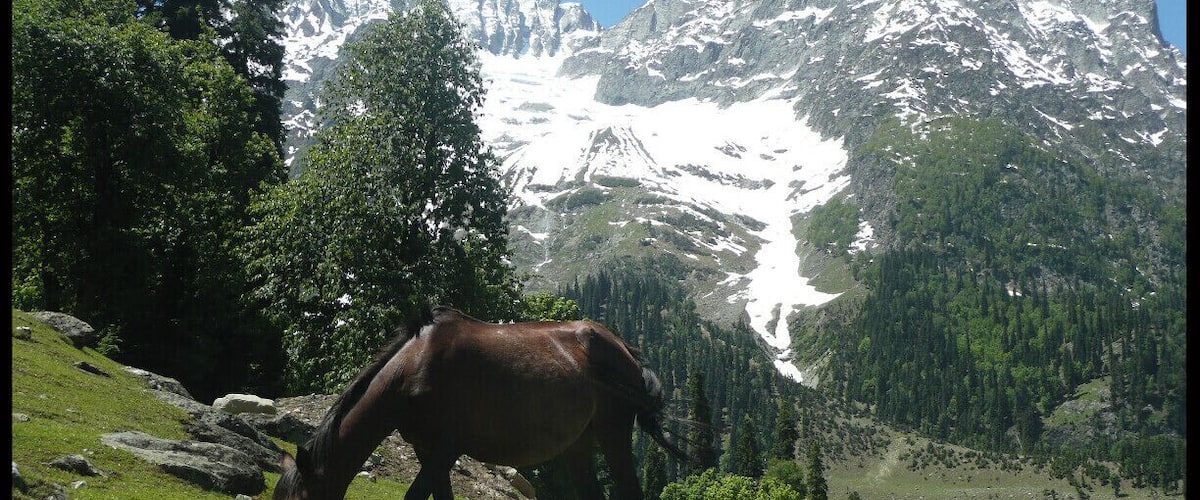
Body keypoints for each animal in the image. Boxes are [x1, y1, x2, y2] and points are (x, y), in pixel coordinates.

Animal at [273, 305, 690, 500]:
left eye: (300, 499)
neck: (415, 368)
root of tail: (625, 350)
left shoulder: (446, 449)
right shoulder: (428, 451)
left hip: (613, 433)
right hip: (578, 444)